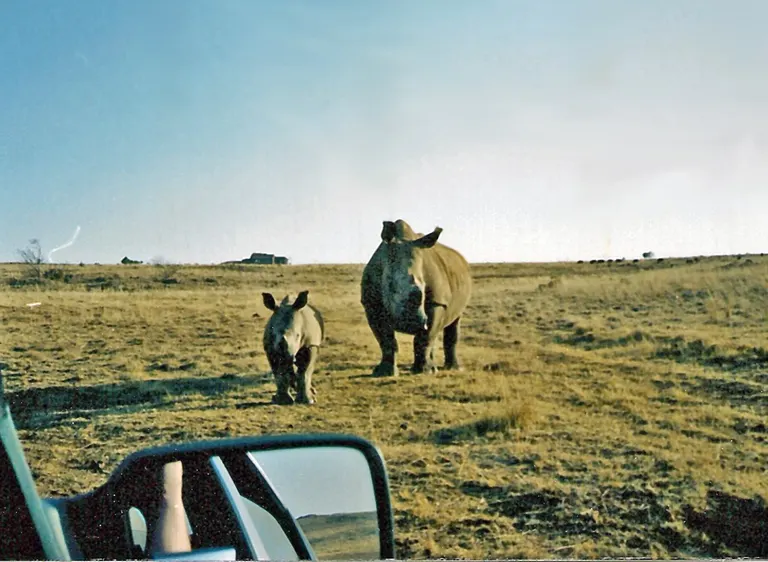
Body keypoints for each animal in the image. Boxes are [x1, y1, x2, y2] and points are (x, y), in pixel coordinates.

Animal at [361, 219, 472, 377]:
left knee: (454, 321)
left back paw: (451, 368)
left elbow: (424, 338)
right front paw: (384, 373)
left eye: (424, 287)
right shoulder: (371, 304)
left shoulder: (437, 302)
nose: (412, 323)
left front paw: (424, 372)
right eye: (390, 285)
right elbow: (385, 340)